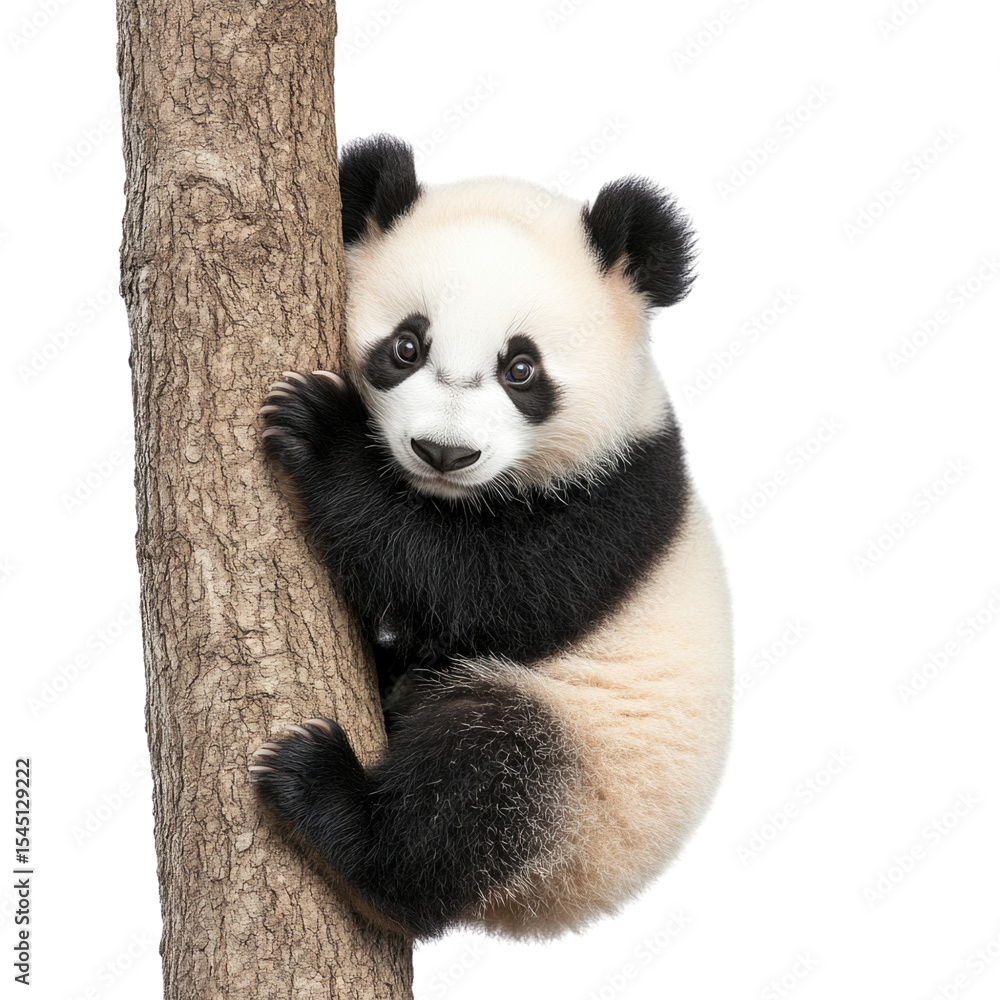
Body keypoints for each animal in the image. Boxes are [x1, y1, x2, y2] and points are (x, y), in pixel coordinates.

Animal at [250, 134, 733, 940]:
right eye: (407, 346)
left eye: (521, 368)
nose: (443, 452)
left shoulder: (619, 494)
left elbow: (486, 590)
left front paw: (321, 436)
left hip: (594, 783)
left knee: (486, 778)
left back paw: (334, 805)